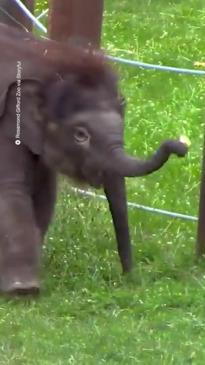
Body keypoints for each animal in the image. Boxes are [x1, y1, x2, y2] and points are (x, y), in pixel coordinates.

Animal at [0, 22, 187, 294]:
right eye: (81, 135)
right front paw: (23, 290)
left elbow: (45, 193)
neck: (49, 65)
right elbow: (11, 191)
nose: (131, 279)